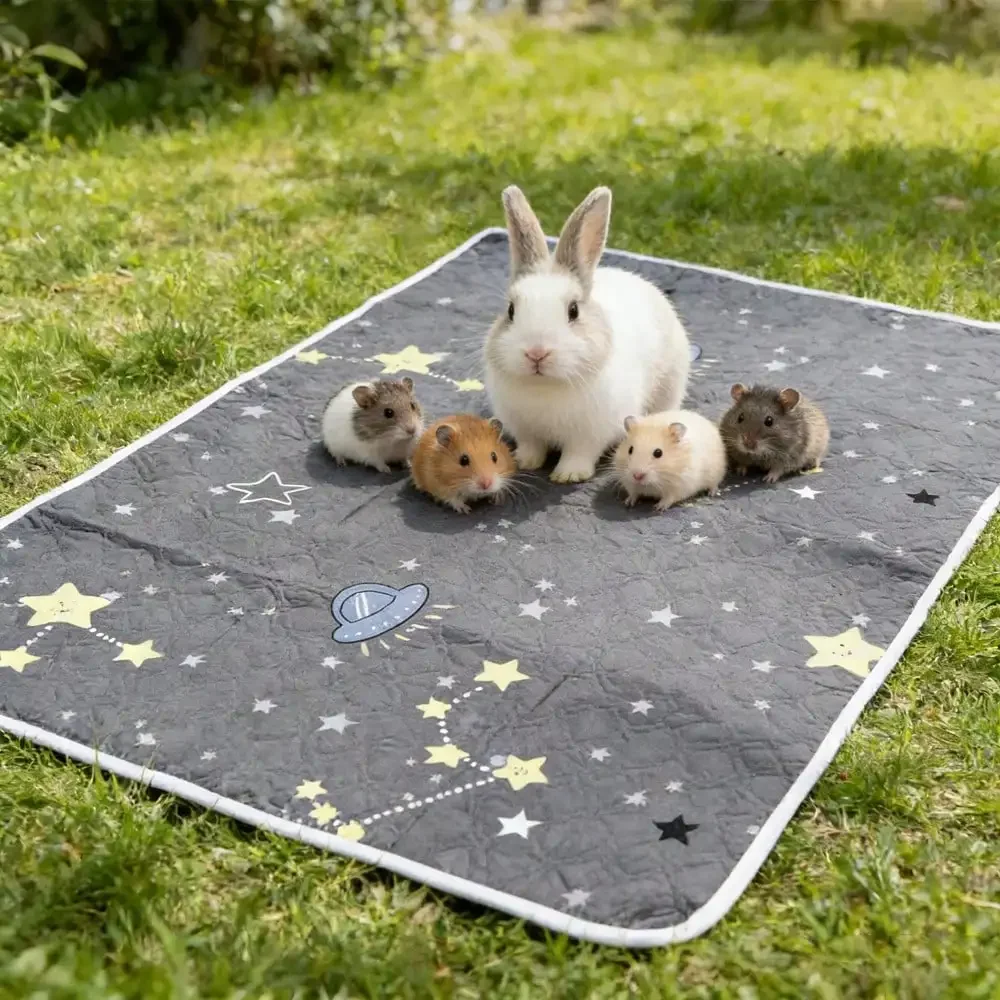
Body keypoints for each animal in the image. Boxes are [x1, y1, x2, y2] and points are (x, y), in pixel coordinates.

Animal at [483, 185, 691, 483]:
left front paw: (569, 475)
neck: (546, 385)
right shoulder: (525, 430)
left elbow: (579, 452)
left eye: (573, 311)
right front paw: (524, 462)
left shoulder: (591, 434)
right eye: (511, 310)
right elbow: (532, 445)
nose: (536, 353)